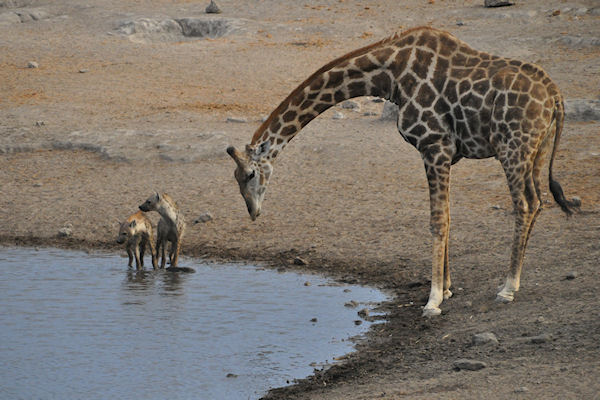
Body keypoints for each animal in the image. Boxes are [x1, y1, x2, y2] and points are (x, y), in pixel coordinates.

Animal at [225, 26, 576, 318]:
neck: (390, 76)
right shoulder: (444, 154)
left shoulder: (434, 146)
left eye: (250, 175)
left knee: (525, 204)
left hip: (512, 149)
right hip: (537, 150)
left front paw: (433, 300)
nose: (253, 211)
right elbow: (447, 217)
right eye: (238, 179)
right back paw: (512, 282)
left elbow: (437, 221)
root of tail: (556, 96)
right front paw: (447, 288)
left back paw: (508, 288)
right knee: (538, 201)